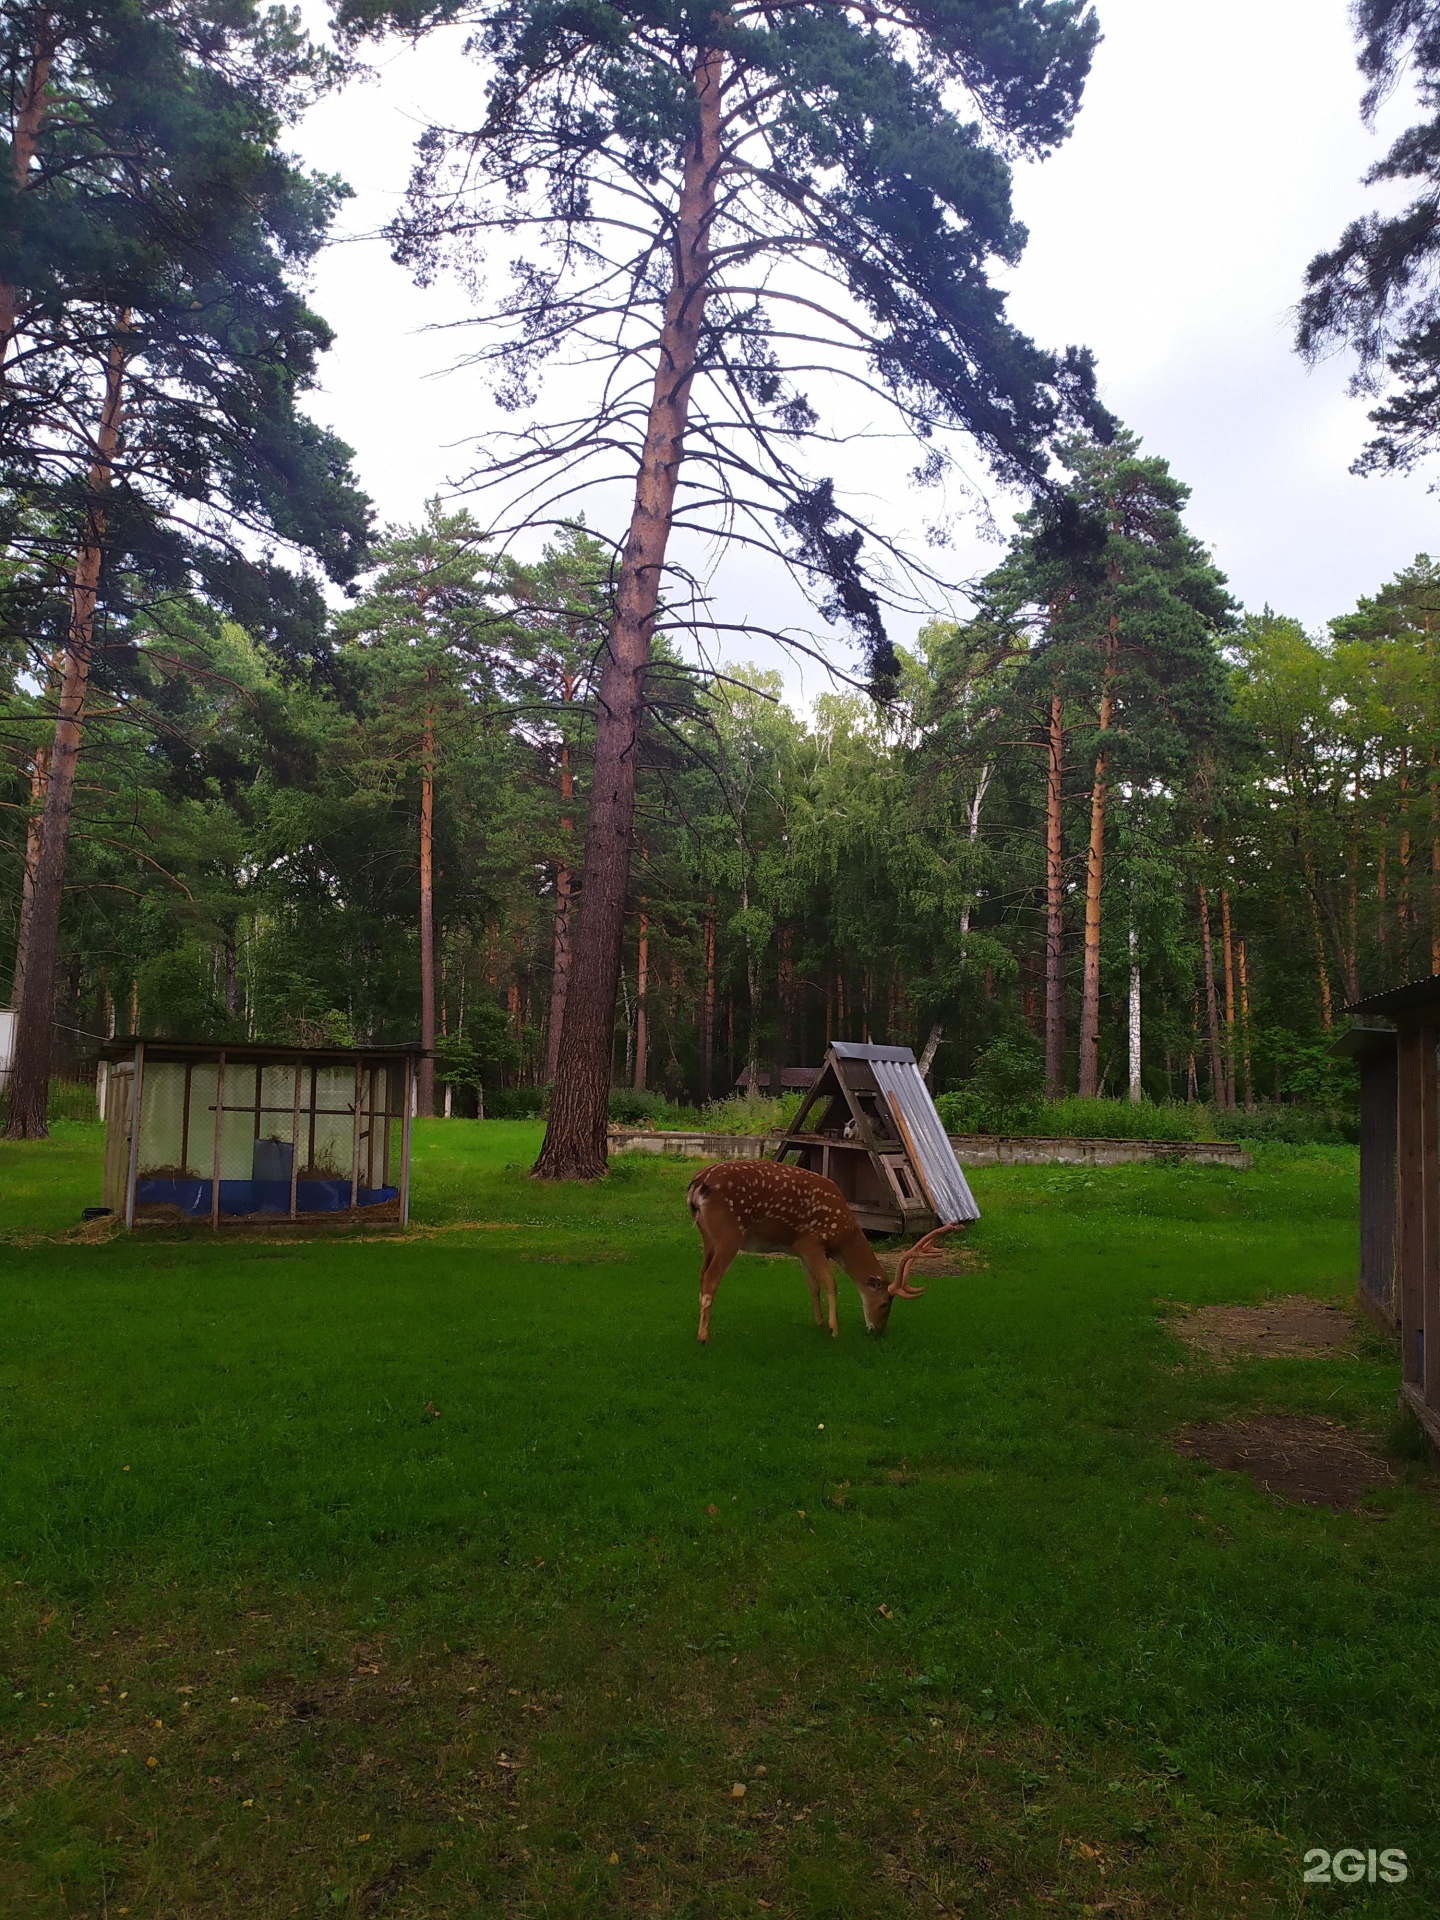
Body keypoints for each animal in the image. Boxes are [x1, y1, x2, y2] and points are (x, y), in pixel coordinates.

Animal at [683, 1159, 963, 1344]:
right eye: (885, 1303)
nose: (876, 1331)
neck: (843, 1236)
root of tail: (697, 1185)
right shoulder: (813, 1242)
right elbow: (831, 1283)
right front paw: (834, 1329)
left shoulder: (800, 1249)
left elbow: (813, 1286)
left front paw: (818, 1323)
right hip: (729, 1234)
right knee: (711, 1278)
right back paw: (703, 1336)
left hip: (708, 1237)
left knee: (701, 1275)